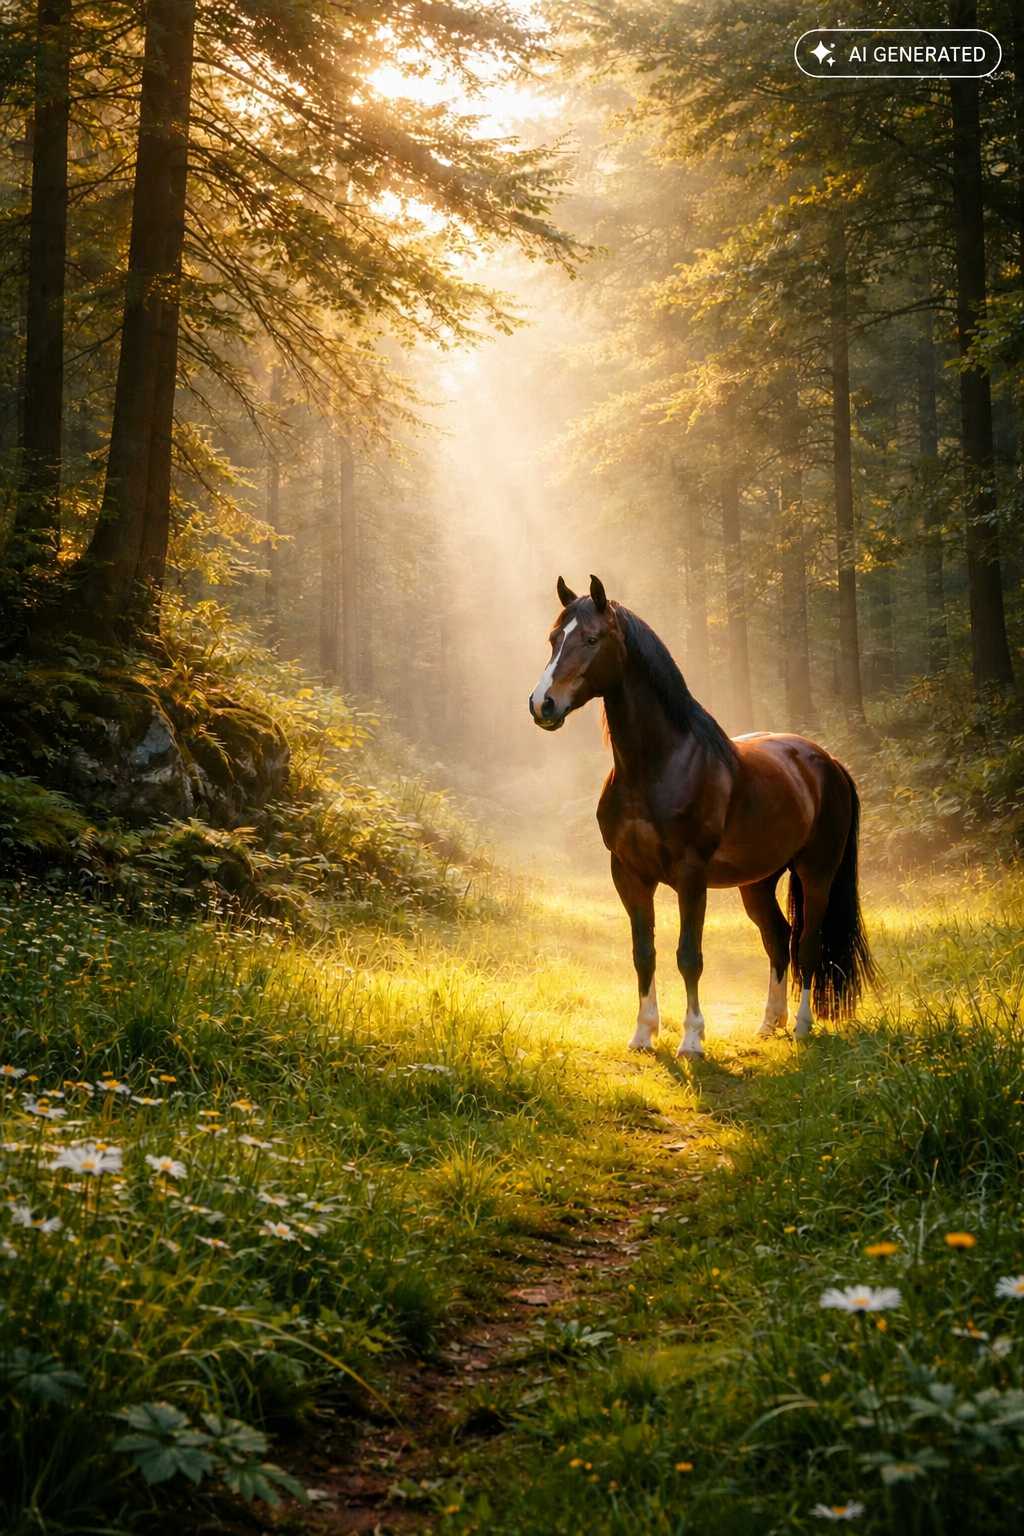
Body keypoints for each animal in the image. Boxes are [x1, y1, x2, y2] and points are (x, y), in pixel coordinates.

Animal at [528, 574, 874, 1057]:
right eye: (554, 638)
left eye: (592, 639)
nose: (543, 704)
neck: (659, 765)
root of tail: (828, 762)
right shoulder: (628, 873)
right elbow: (644, 952)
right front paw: (643, 1033)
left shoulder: (691, 876)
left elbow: (688, 956)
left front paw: (692, 1039)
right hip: (758, 882)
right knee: (778, 939)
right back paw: (769, 1023)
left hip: (816, 872)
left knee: (806, 944)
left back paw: (802, 1026)